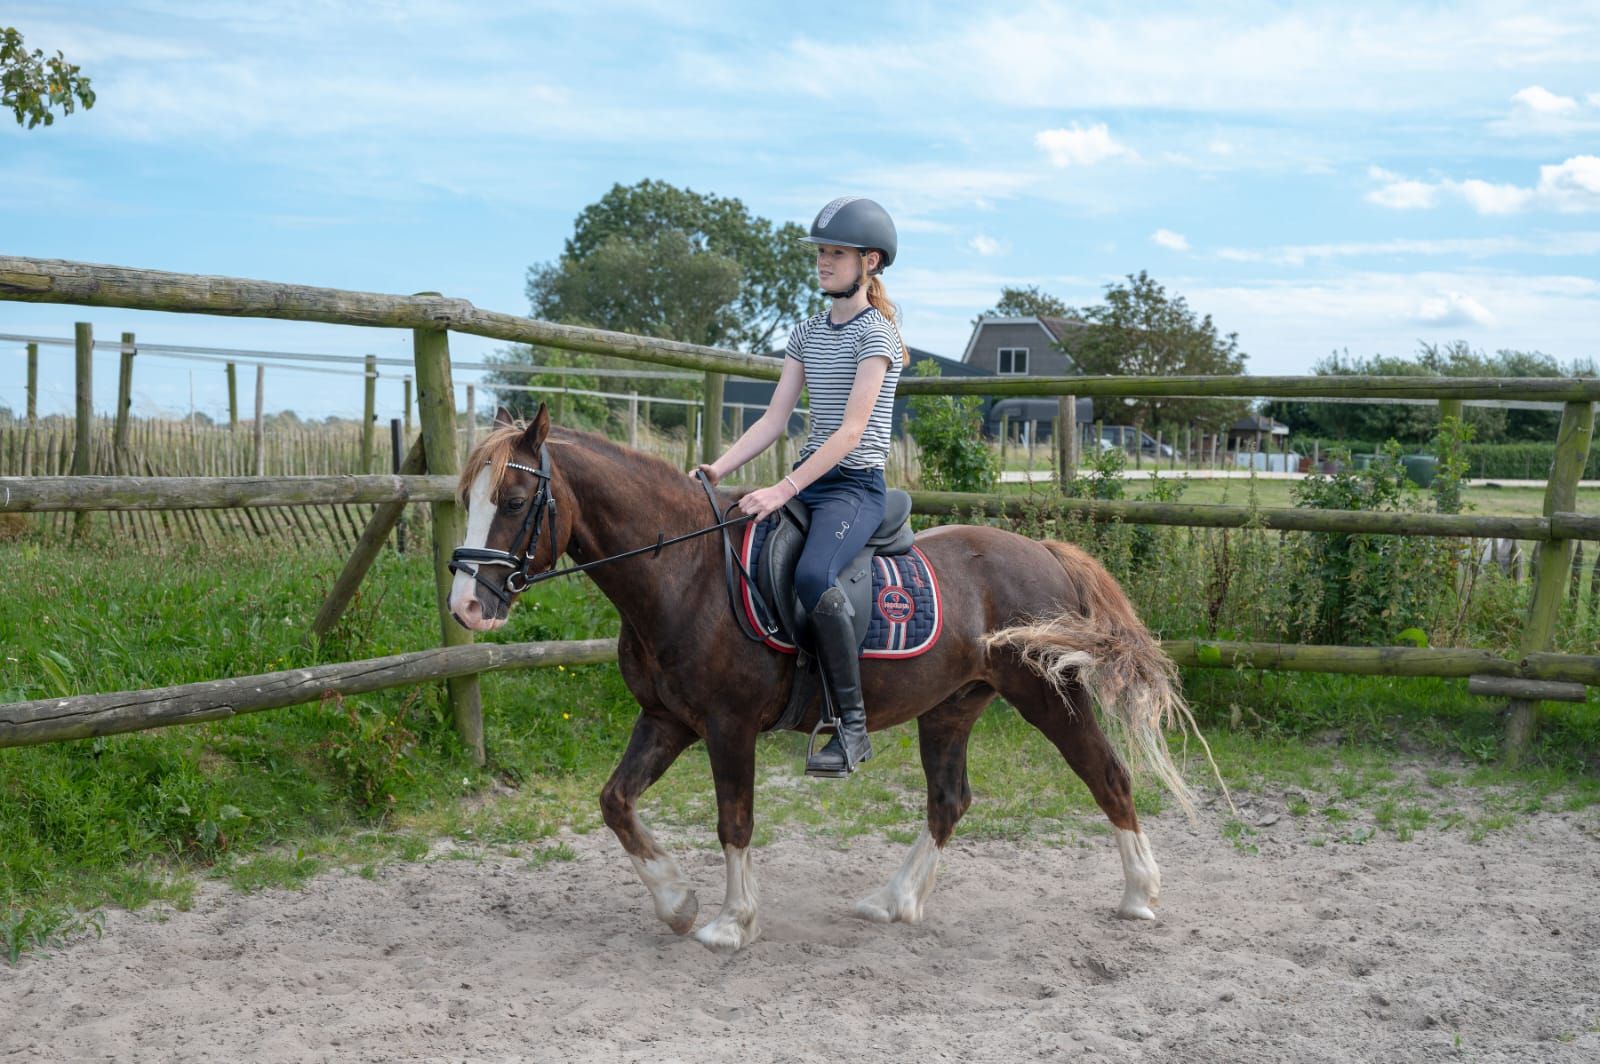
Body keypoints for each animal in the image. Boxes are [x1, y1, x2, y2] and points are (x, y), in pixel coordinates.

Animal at [447, 405, 1208, 953]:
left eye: (514, 499)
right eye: (470, 498)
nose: (465, 607)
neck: (685, 575)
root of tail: (1045, 551)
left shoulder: (727, 727)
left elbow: (734, 820)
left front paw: (731, 922)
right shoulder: (666, 721)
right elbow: (616, 802)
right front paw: (677, 903)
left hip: (1050, 698)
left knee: (1108, 777)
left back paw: (1140, 896)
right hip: (951, 708)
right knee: (949, 800)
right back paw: (895, 901)